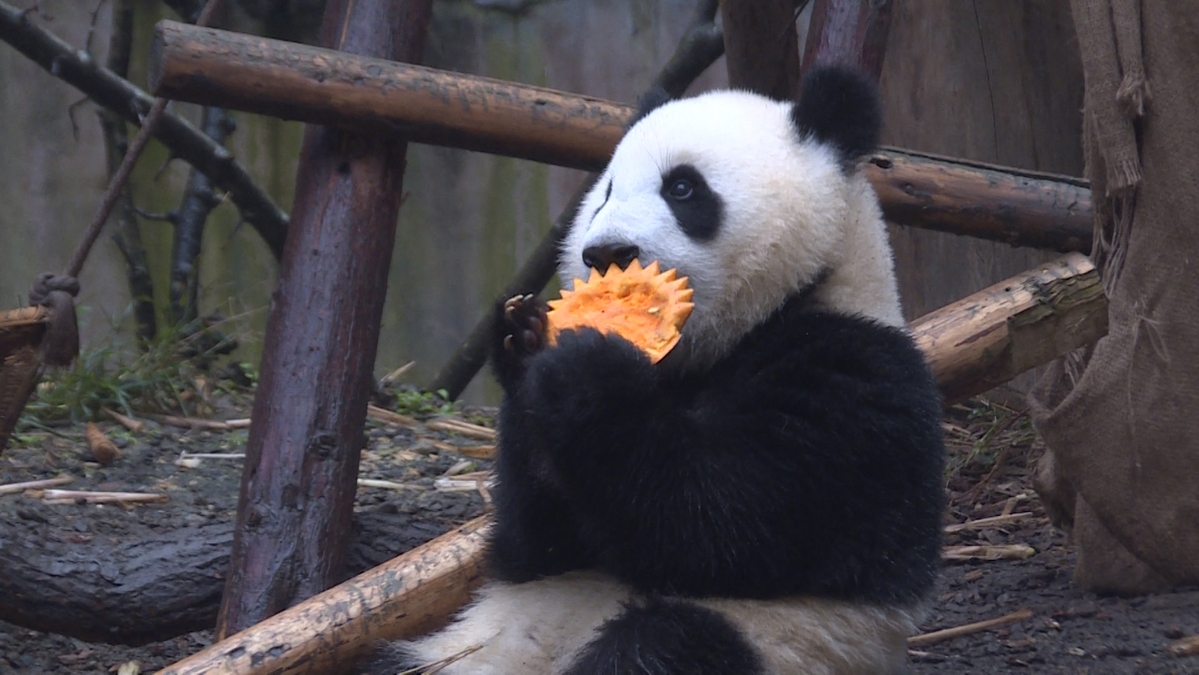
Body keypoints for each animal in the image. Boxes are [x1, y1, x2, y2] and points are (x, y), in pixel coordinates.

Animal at [364, 64, 944, 675]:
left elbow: (717, 524)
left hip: (790, 640)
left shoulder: (848, 379)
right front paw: (522, 339)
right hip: (466, 644)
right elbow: (541, 539)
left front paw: (586, 372)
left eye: (682, 188)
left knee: (665, 644)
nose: (606, 252)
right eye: (605, 192)